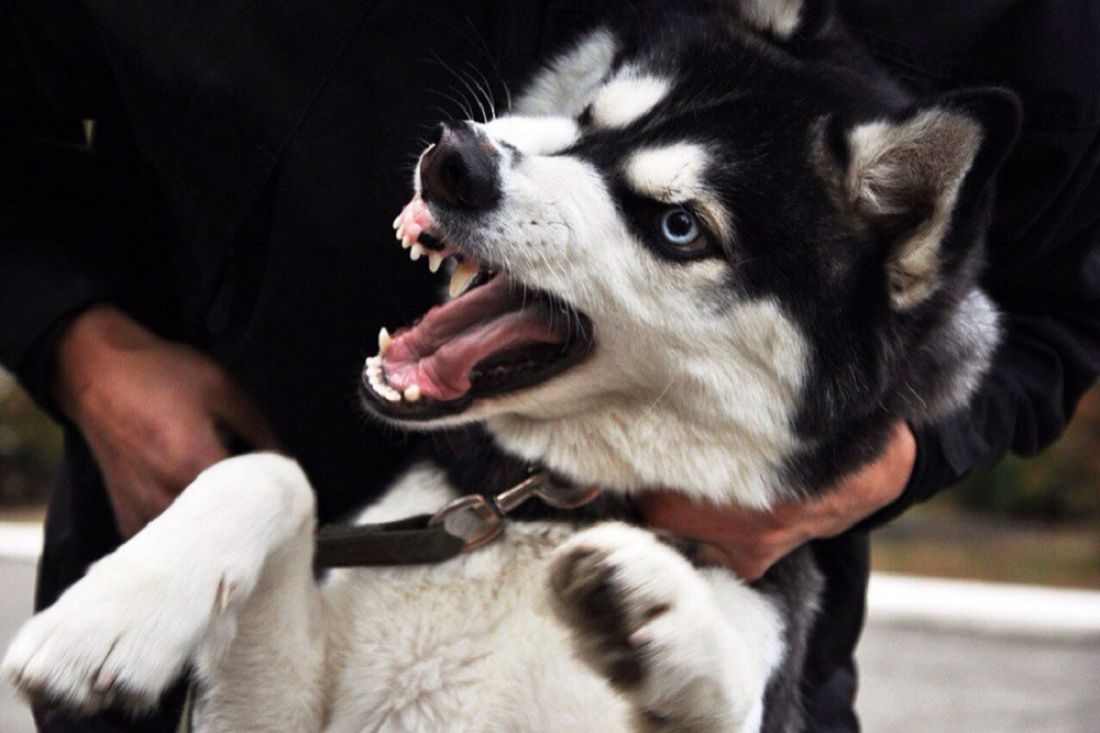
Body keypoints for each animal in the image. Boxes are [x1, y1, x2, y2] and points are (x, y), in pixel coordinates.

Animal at [0, 0, 1016, 726]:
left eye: (680, 226)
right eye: (588, 117)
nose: (456, 158)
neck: (542, 512)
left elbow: (720, 675)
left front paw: (660, 614)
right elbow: (269, 471)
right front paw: (114, 614)